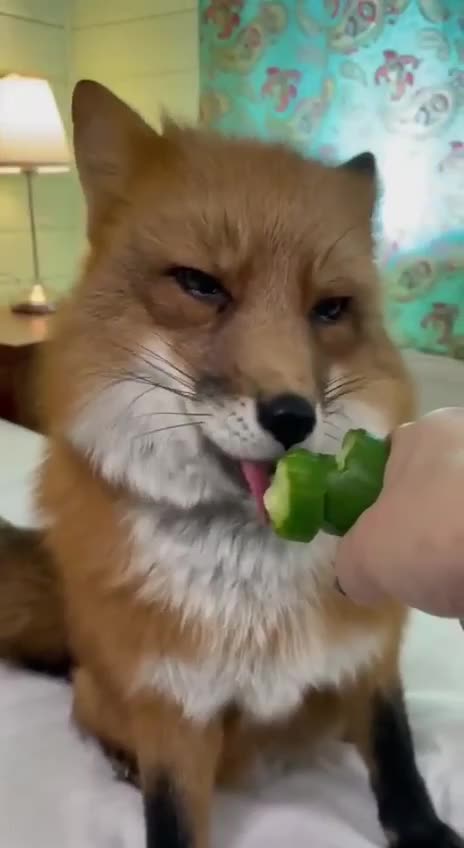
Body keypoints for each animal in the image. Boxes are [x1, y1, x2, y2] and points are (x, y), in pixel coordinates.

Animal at [0, 79, 462, 848]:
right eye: (200, 285)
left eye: (330, 309)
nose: (292, 419)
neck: (252, 592)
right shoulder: (171, 700)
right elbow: (171, 815)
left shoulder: (370, 651)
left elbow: (393, 751)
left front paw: (422, 829)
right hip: (104, 689)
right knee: (90, 717)